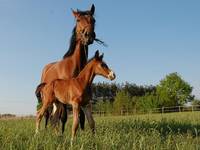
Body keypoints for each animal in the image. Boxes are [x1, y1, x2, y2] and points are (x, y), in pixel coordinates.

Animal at [35, 4, 97, 134]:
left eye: (93, 20)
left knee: (53, 116)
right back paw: (47, 130)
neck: (74, 64)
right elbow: (63, 117)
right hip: (47, 98)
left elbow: (81, 117)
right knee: (47, 114)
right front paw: (62, 135)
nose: (88, 36)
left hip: (56, 101)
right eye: (78, 20)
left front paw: (82, 133)